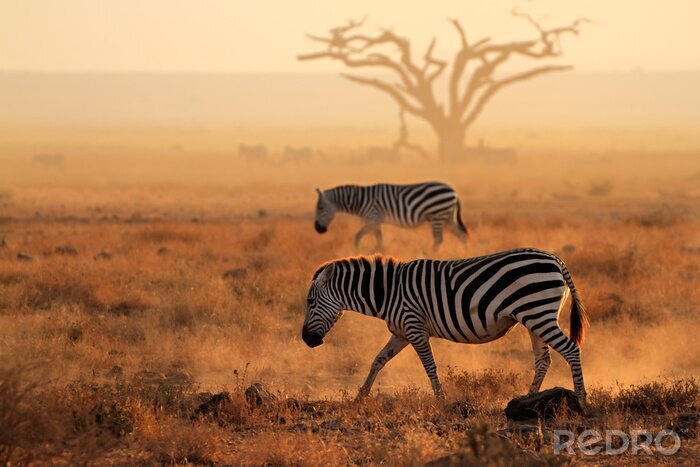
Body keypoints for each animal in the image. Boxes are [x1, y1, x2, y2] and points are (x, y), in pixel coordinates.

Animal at [302, 249, 592, 406]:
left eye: (310, 302)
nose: (306, 340)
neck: (388, 292)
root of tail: (556, 259)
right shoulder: (400, 333)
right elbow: (378, 361)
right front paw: (360, 397)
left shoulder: (414, 328)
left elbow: (430, 366)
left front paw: (441, 401)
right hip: (534, 317)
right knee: (543, 360)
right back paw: (526, 399)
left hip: (539, 313)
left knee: (570, 350)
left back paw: (581, 399)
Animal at [314, 182, 468, 252]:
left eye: (320, 208)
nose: (317, 229)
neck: (360, 201)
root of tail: (454, 192)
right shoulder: (376, 221)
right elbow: (379, 240)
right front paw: (380, 253)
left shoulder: (373, 218)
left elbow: (358, 236)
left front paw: (356, 252)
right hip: (447, 216)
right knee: (461, 234)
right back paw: (465, 252)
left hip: (437, 215)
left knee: (438, 239)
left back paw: (430, 255)